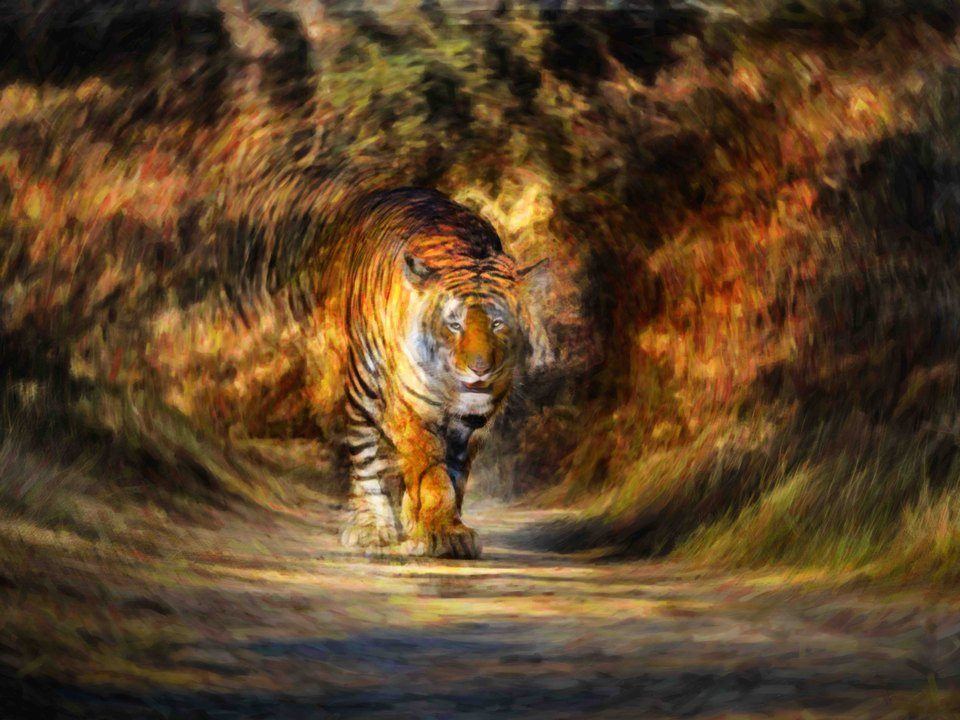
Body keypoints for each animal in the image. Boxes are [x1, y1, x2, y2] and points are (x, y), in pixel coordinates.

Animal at [321, 187, 542, 559]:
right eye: (454, 324)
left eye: (498, 324)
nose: (480, 368)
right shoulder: (409, 408)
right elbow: (432, 471)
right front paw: (440, 531)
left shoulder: (470, 423)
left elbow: (454, 475)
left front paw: (437, 527)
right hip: (364, 384)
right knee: (365, 453)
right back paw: (371, 527)